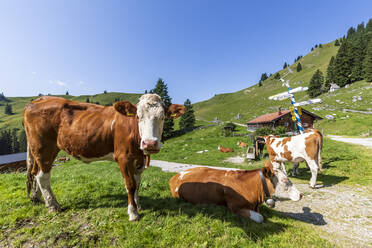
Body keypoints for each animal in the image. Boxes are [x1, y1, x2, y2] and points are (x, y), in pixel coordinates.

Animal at [23, 93, 186, 221]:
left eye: (163, 117)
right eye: (138, 117)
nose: (150, 143)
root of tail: (37, 100)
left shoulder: (138, 161)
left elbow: (138, 184)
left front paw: (138, 205)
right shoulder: (123, 157)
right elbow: (130, 185)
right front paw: (133, 212)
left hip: (37, 150)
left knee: (35, 173)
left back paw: (36, 198)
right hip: (44, 149)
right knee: (42, 176)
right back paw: (53, 205)